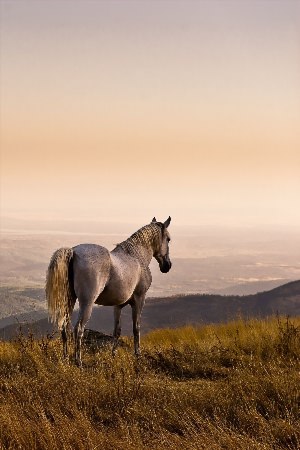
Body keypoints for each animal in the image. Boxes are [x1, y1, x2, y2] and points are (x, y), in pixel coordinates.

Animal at [44, 216, 171, 368]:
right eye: (168, 239)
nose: (167, 266)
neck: (137, 257)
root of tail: (73, 252)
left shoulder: (118, 306)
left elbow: (117, 330)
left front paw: (113, 355)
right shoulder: (139, 299)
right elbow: (136, 328)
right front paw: (137, 355)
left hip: (70, 300)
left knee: (65, 328)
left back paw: (65, 360)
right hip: (87, 303)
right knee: (78, 329)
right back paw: (78, 362)